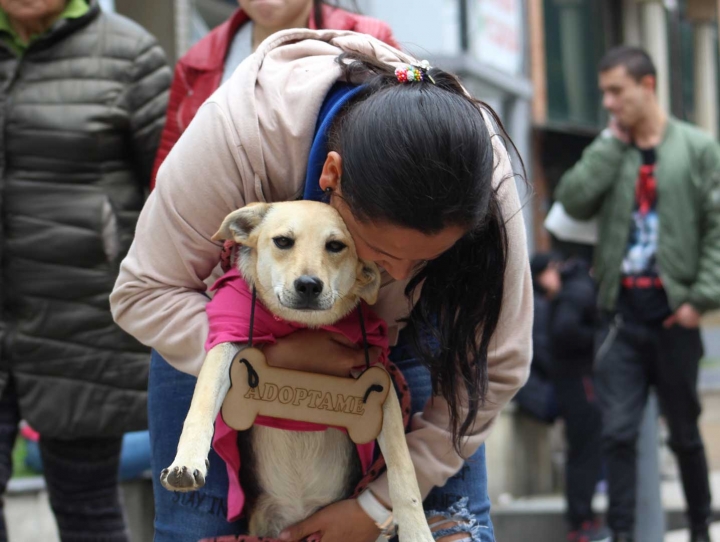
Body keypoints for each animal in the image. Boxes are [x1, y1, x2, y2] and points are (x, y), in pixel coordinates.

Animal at [162, 203, 434, 542]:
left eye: (336, 246)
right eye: (283, 241)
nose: (308, 285)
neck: (300, 323)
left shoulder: (378, 381)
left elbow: (402, 468)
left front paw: (416, 531)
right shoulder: (228, 341)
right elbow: (200, 407)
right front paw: (186, 463)